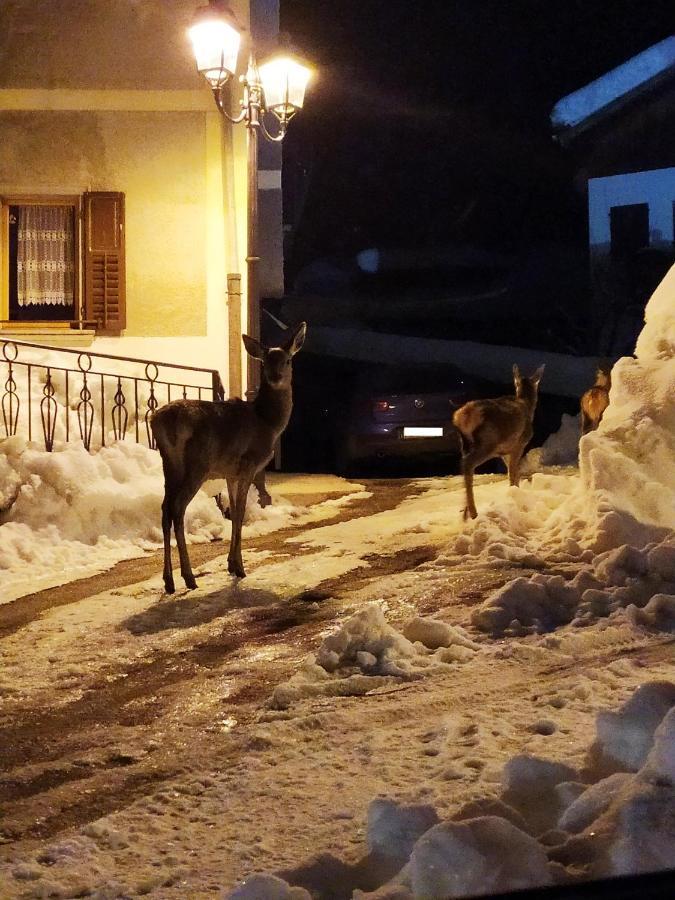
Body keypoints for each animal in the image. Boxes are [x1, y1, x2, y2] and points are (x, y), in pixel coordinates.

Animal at [152, 322, 308, 592]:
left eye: (287, 360)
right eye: (265, 361)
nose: (275, 377)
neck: (267, 422)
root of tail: (160, 420)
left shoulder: (229, 473)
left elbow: (233, 510)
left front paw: (230, 564)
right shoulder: (248, 464)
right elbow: (240, 512)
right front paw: (240, 567)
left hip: (169, 466)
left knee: (164, 509)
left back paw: (169, 581)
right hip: (198, 464)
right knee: (177, 508)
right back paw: (188, 577)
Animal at [452, 364, 548, 520]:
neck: (528, 407)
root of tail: (463, 416)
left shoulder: (504, 452)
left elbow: (513, 471)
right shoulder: (519, 444)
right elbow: (513, 472)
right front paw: (514, 495)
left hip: (465, 443)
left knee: (465, 467)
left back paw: (465, 512)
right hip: (488, 442)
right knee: (467, 464)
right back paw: (473, 512)